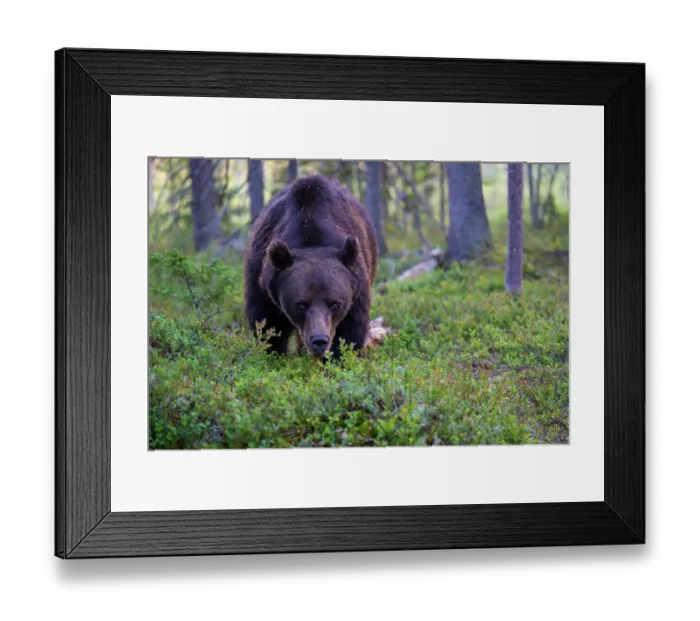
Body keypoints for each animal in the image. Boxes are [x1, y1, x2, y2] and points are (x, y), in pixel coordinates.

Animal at [243, 173, 379, 359]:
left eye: (334, 303)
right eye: (301, 303)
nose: (319, 340)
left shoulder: (356, 292)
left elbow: (349, 333)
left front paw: (339, 358)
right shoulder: (263, 286)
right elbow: (267, 326)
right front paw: (273, 355)